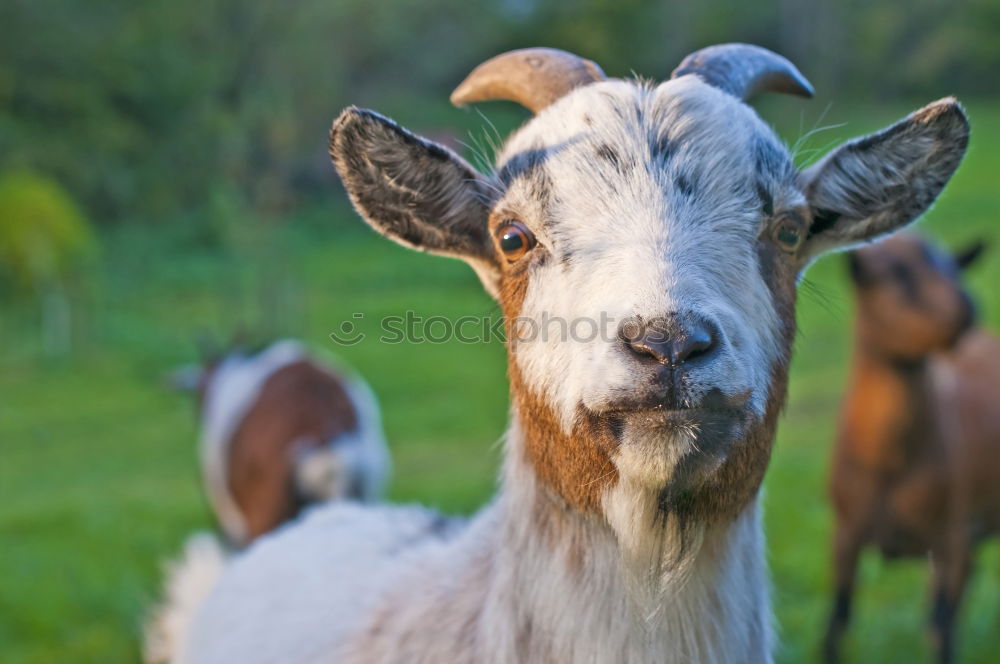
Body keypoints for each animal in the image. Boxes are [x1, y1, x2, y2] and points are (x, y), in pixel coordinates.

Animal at [824, 235, 996, 664]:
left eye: (955, 266)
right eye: (894, 272)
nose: (967, 305)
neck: (890, 465)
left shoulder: (950, 539)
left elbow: (940, 633)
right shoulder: (844, 534)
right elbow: (836, 625)